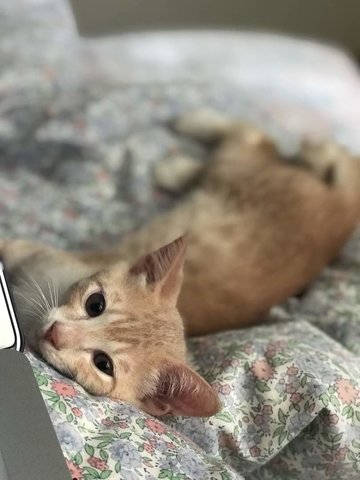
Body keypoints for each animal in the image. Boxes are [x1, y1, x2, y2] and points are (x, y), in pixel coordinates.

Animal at [1, 111, 358, 416]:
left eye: (103, 365)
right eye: (95, 304)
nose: (57, 333)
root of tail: (341, 212)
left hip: (238, 171)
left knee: (256, 141)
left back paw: (181, 159)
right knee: (258, 141)